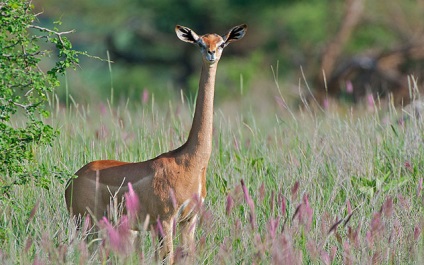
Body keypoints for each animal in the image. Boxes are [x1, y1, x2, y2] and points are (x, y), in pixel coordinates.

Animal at [64, 24, 247, 262]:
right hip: (87, 224)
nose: (211, 53)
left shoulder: (189, 220)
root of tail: (71, 180)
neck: (190, 162)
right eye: (200, 42)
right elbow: (167, 258)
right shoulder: (165, 220)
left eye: (222, 42)